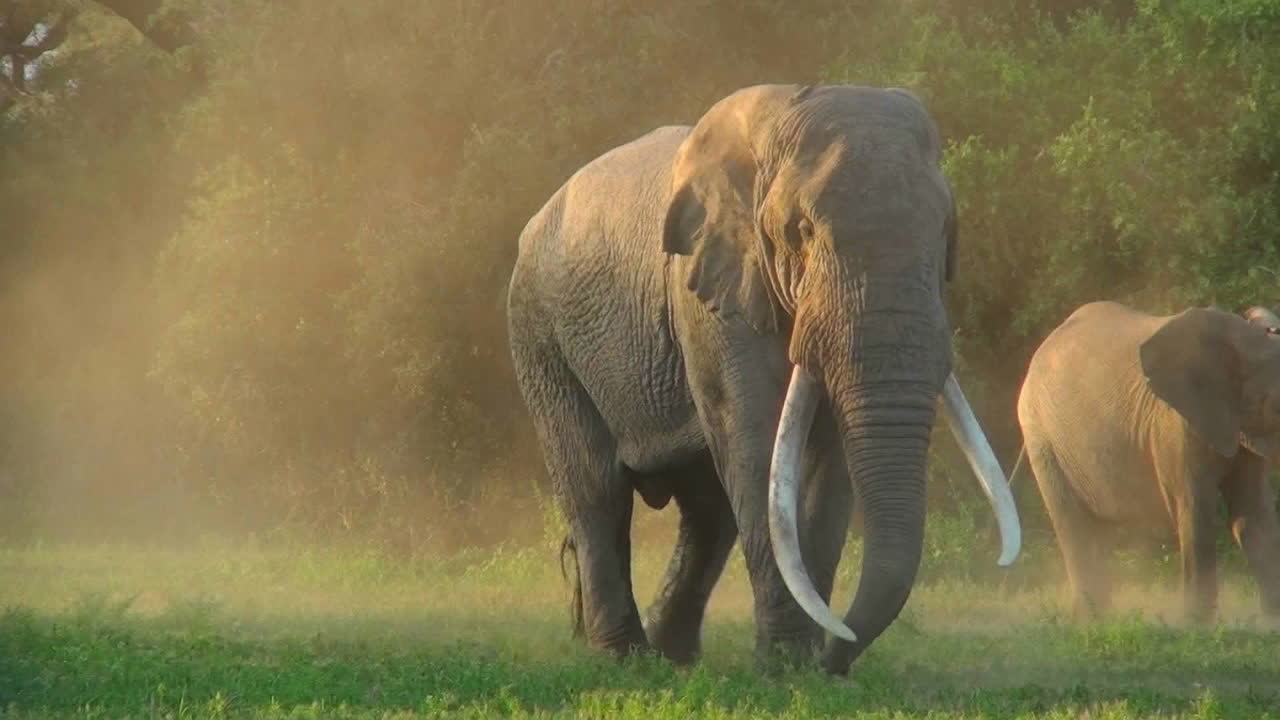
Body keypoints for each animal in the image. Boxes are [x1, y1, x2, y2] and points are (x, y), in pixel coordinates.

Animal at [506, 84, 1021, 675]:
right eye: (804, 232)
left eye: (944, 234)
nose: (835, 657)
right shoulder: (711, 299)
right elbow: (757, 450)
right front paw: (785, 667)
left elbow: (824, 468)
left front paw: (804, 663)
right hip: (540, 336)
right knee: (597, 490)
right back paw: (626, 659)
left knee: (706, 511)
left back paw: (673, 656)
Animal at [1016, 300, 1280, 622]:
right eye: (1279, 407)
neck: (1248, 339)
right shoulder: (1175, 423)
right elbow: (1196, 511)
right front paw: (1194, 625)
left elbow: (1253, 516)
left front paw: (1271, 624)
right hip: (1041, 437)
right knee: (1073, 525)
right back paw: (1090, 619)